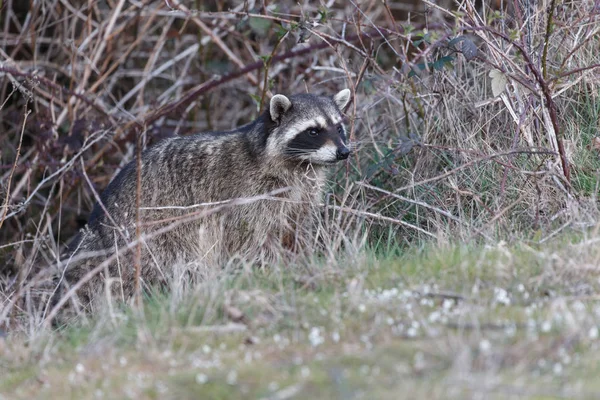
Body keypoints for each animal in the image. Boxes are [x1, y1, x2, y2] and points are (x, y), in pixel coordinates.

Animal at [61, 90, 352, 304]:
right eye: (313, 131)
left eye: (339, 128)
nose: (344, 152)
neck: (300, 164)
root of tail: (101, 226)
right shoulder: (249, 197)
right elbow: (250, 239)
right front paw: (268, 269)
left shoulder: (301, 195)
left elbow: (295, 229)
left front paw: (301, 260)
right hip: (154, 232)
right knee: (180, 257)